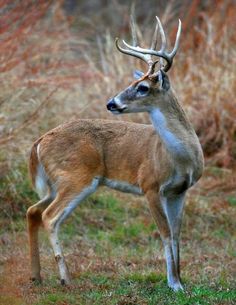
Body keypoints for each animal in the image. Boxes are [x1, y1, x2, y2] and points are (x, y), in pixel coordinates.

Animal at [26, 16, 203, 290]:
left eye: (142, 87)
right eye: (132, 83)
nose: (111, 103)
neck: (181, 159)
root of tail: (39, 141)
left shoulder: (180, 191)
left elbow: (176, 234)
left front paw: (180, 280)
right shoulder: (150, 185)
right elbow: (164, 232)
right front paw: (174, 284)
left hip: (56, 182)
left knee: (33, 211)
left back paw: (36, 276)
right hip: (75, 177)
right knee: (50, 216)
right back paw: (65, 278)